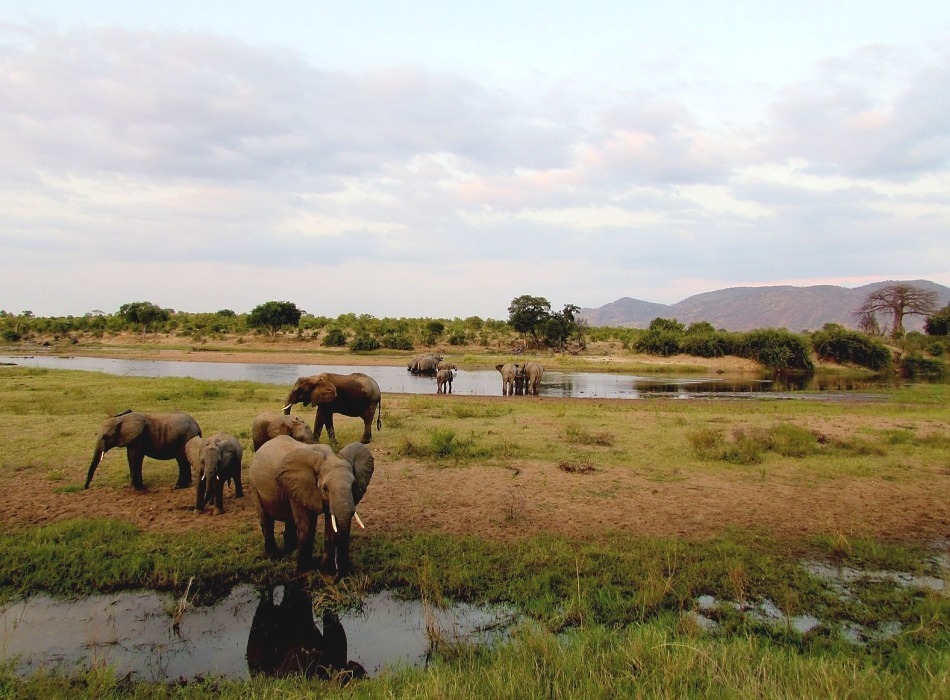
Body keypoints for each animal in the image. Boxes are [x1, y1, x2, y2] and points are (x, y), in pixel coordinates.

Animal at [249, 435, 375, 576]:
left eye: (353, 486)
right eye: (325, 488)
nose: (339, 574)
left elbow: (331, 525)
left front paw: (326, 571)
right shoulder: (299, 485)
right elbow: (307, 525)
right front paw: (304, 573)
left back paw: (291, 550)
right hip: (254, 484)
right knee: (266, 519)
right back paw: (273, 557)